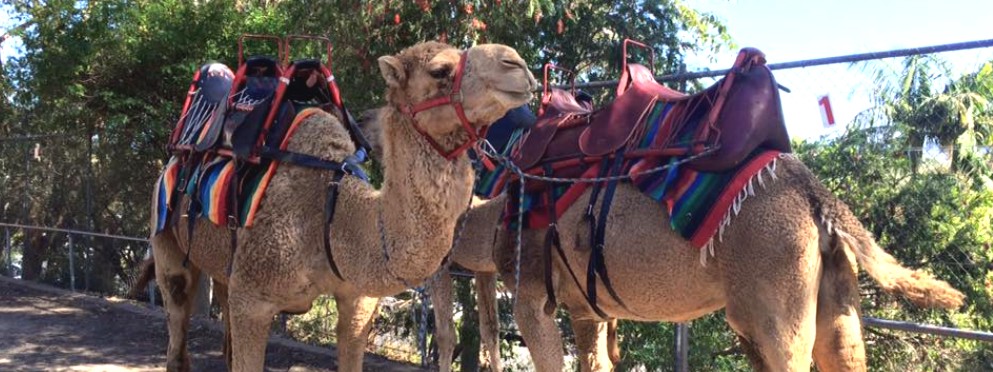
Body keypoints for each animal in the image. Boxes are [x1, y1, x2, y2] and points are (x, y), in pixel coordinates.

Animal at [149, 41, 536, 372]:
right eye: (440, 70)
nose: (516, 63)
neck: (331, 215)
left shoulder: (358, 303)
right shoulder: (252, 298)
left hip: (224, 267)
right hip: (165, 237)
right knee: (177, 326)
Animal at [492, 153, 964, 370]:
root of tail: (815, 194)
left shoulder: (529, 289)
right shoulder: (587, 307)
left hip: (774, 279)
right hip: (834, 282)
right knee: (842, 349)